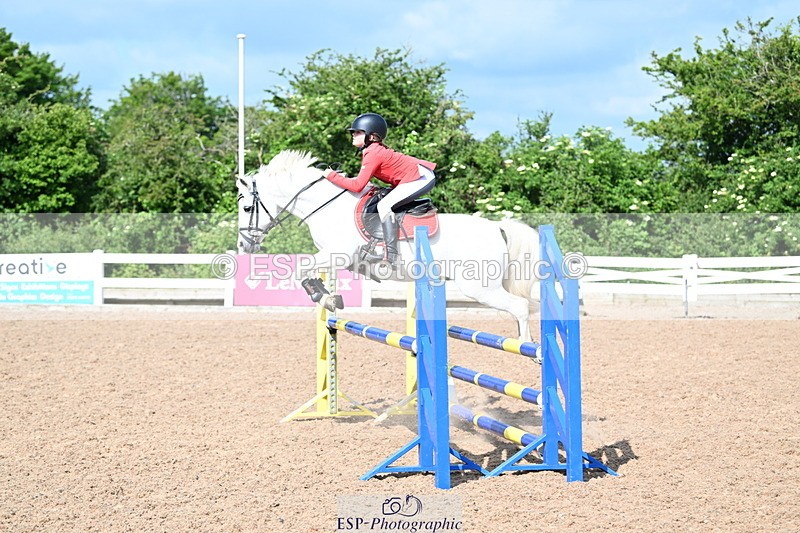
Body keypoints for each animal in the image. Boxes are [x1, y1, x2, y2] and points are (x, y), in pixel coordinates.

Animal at [236, 150, 541, 341]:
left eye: (247, 207)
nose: (243, 244)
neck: (326, 207)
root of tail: (497, 227)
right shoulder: (332, 257)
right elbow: (307, 271)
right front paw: (328, 296)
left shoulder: (338, 255)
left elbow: (301, 268)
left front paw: (324, 297)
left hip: (478, 286)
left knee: (520, 307)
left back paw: (528, 347)